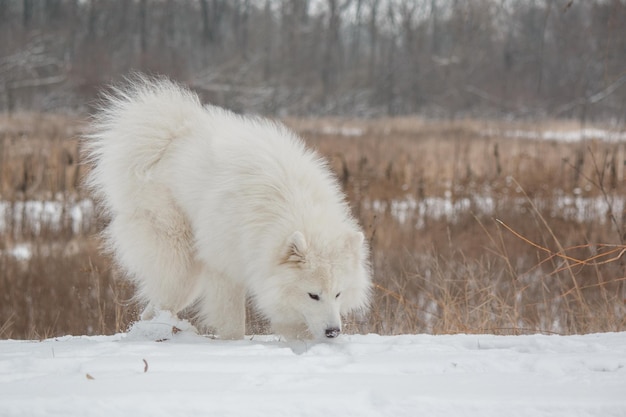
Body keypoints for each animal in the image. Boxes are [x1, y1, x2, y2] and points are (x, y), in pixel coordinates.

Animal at [80, 76, 368, 340]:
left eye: (338, 293)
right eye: (313, 295)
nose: (333, 332)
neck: (289, 203)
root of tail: (171, 136)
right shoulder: (225, 267)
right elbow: (232, 322)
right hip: (181, 261)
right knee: (160, 301)